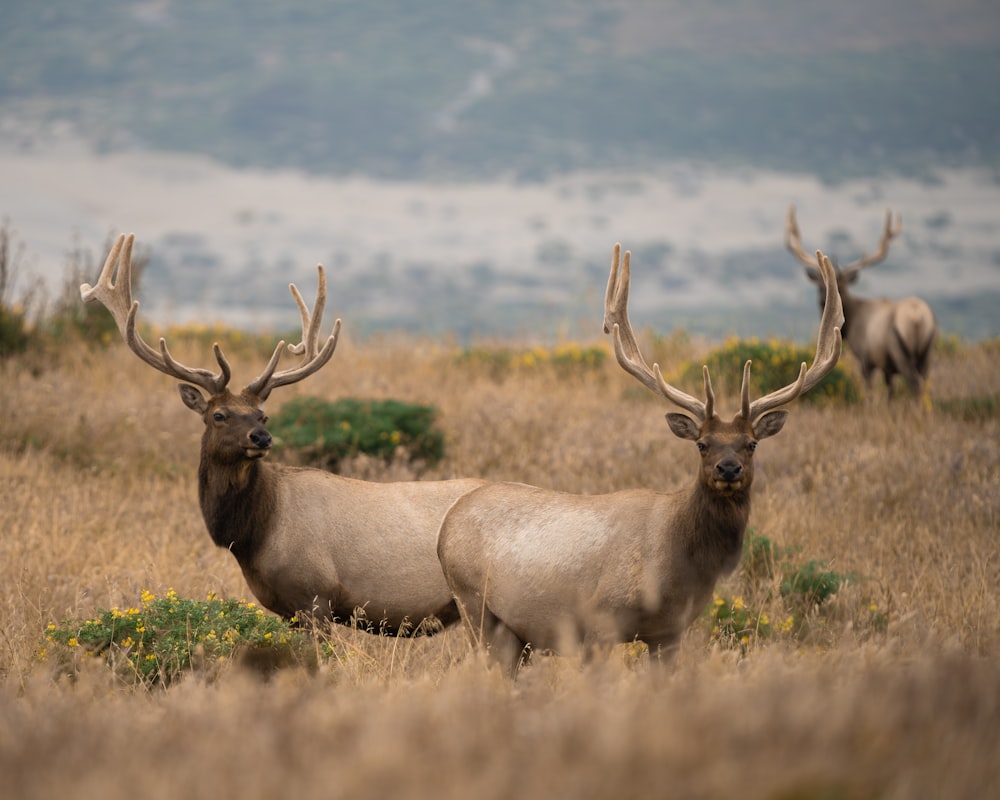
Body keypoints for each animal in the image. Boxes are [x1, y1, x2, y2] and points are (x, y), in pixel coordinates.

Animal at [81, 234, 480, 636]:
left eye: (263, 414)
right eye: (218, 415)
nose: (261, 438)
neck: (254, 535)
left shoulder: (315, 596)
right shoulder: (288, 610)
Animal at [438, 244, 844, 676]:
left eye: (751, 443)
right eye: (702, 444)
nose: (729, 468)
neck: (679, 562)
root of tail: (445, 528)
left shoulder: (671, 631)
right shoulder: (599, 619)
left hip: (513, 631)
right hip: (475, 605)